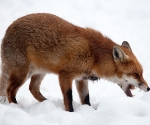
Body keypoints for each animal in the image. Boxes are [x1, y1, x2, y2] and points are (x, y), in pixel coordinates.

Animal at [0, 13, 149, 112]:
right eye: (136, 74)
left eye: (141, 73)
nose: (148, 88)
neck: (94, 56)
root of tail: (7, 30)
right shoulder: (65, 75)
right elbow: (69, 98)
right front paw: (70, 113)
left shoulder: (81, 79)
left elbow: (86, 99)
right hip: (22, 74)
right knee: (10, 90)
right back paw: (16, 108)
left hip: (40, 72)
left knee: (33, 88)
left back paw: (47, 104)